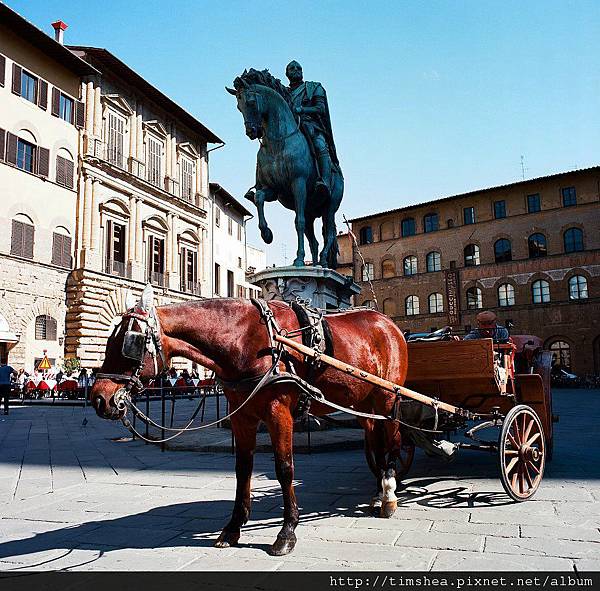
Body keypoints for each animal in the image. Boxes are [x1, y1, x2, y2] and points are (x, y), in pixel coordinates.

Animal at [90, 284, 408, 556]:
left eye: (128, 343)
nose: (99, 398)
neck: (247, 339)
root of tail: (389, 324)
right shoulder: (242, 416)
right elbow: (242, 469)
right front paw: (233, 528)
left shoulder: (279, 413)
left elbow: (284, 469)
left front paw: (287, 531)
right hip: (365, 402)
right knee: (375, 440)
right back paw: (379, 491)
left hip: (389, 397)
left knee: (393, 439)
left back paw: (389, 494)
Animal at [226, 70, 346, 270]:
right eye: (238, 106)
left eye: (250, 102)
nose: (252, 131)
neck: (278, 144)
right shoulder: (273, 190)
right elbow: (258, 199)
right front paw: (266, 234)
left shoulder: (298, 185)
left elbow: (298, 222)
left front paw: (299, 259)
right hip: (311, 210)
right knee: (314, 240)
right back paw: (314, 264)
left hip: (330, 207)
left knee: (328, 233)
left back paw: (323, 262)